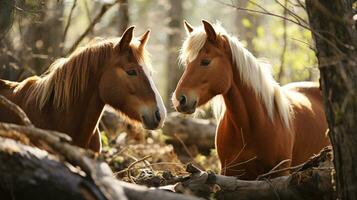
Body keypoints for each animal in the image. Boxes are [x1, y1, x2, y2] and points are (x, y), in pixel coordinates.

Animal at [172, 20, 328, 180]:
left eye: (205, 61)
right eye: (187, 63)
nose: (179, 99)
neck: (250, 127)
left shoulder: (280, 173)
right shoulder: (229, 172)